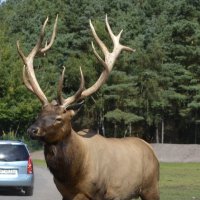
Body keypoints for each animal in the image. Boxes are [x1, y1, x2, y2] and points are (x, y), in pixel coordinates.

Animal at [16, 14, 159, 199]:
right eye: (39, 114)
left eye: (59, 118)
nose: (32, 130)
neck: (74, 174)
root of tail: (151, 150)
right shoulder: (65, 194)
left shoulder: (99, 192)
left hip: (151, 186)